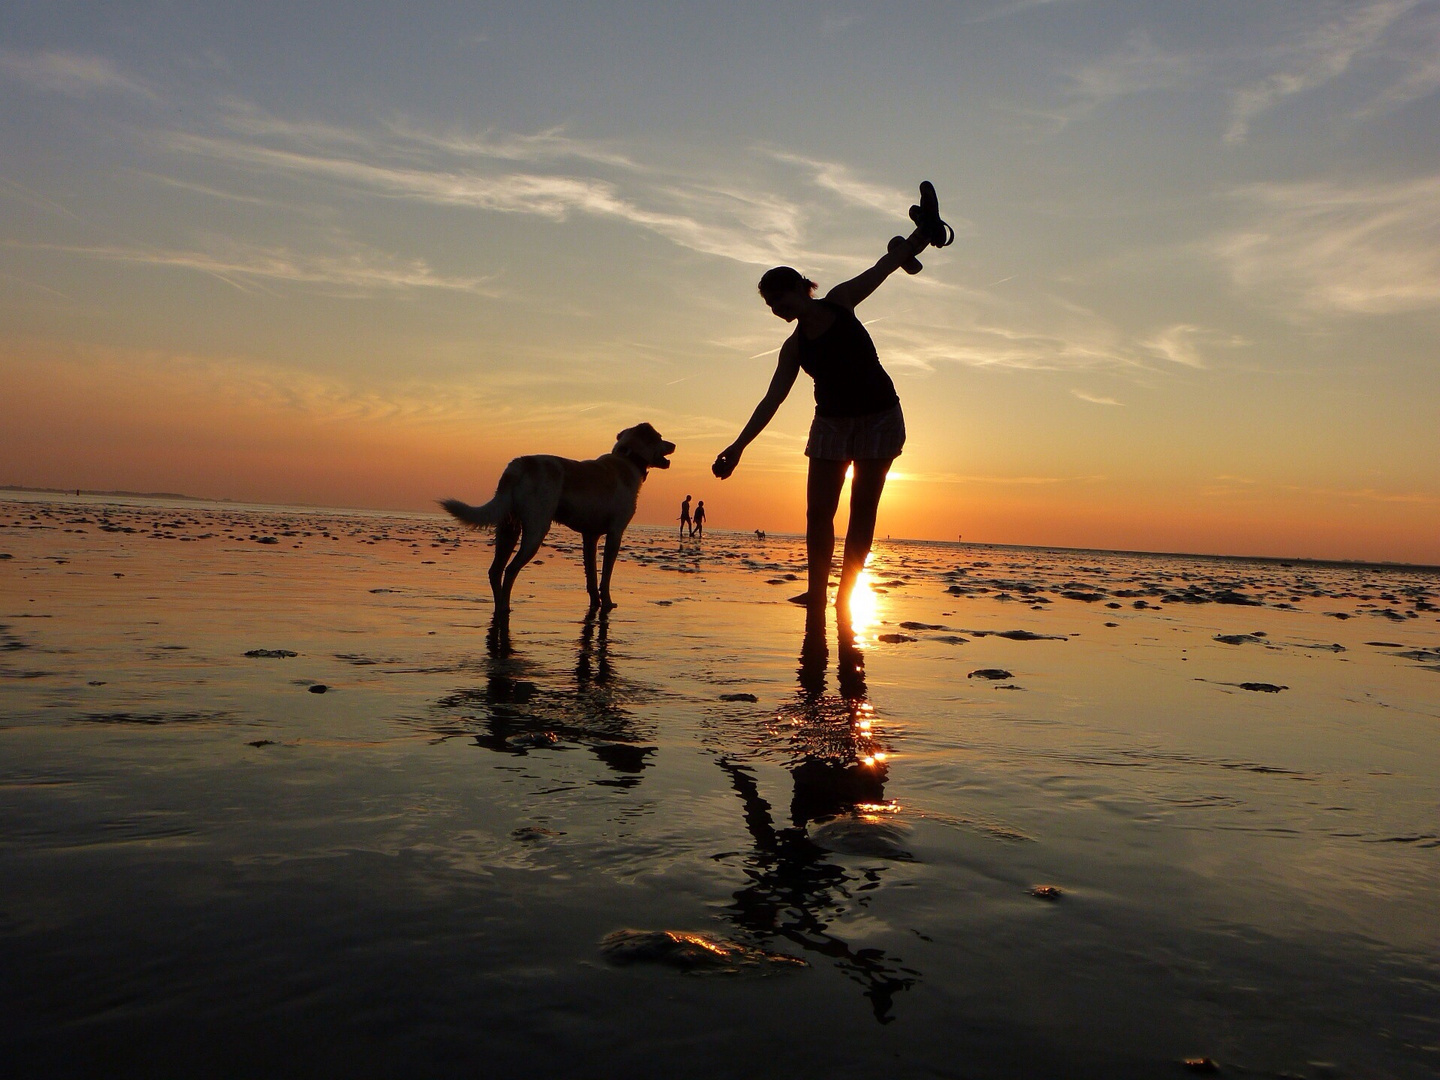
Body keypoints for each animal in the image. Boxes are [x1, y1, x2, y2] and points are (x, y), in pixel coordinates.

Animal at [437, 426, 673, 616]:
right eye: (660, 437)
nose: (675, 444)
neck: (628, 457)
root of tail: (518, 465)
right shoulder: (615, 533)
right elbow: (605, 576)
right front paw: (606, 603)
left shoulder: (590, 536)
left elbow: (591, 577)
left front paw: (595, 604)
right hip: (536, 529)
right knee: (511, 569)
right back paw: (505, 607)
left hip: (508, 528)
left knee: (495, 570)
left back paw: (499, 606)